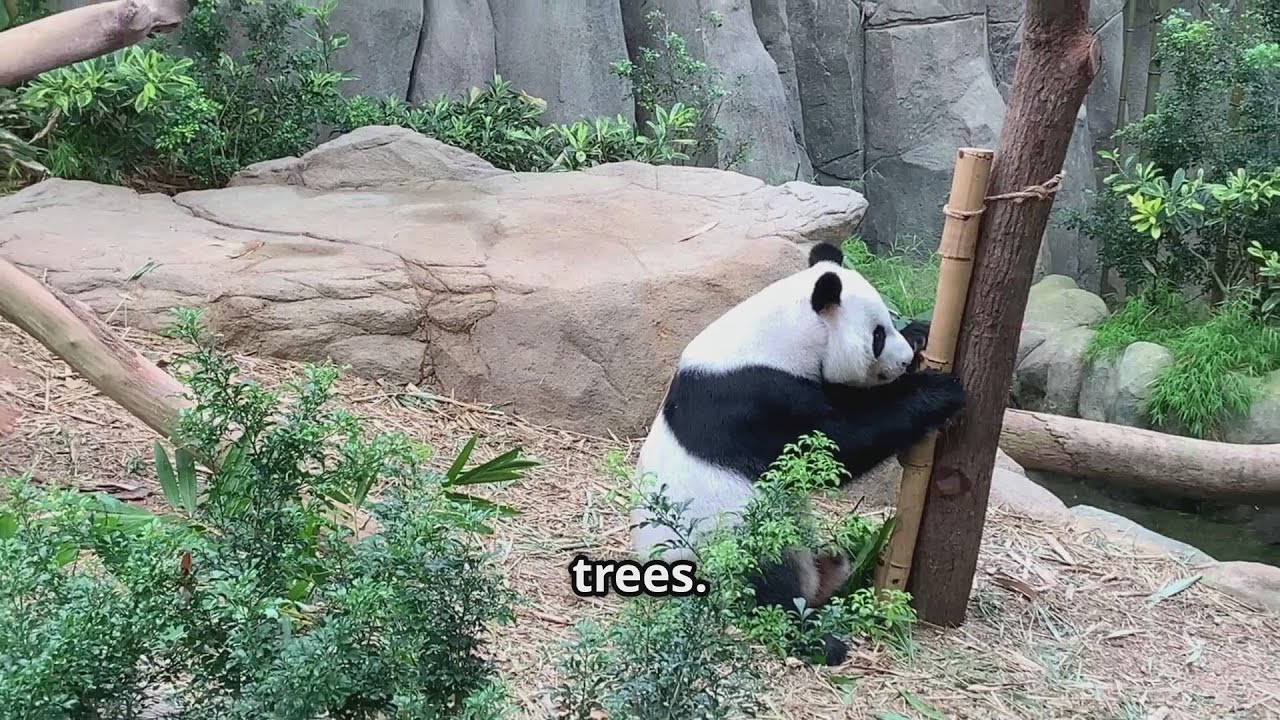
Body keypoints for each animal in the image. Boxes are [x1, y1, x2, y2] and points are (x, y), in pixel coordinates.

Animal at [629, 240, 966, 666]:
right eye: (876, 336)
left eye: (889, 324)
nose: (904, 359)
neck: (777, 334)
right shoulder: (758, 399)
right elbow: (835, 449)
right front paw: (937, 392)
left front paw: (920, 334)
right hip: (731, 544)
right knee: (766, 580)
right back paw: (817, 639)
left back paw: (841, 564)